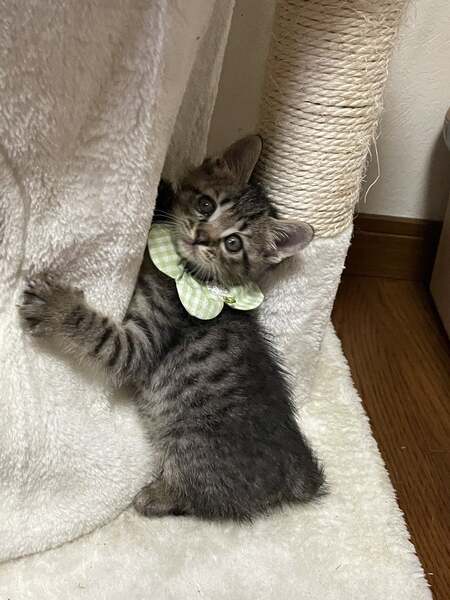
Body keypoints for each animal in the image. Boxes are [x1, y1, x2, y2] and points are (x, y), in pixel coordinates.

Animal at [19, 135, 325, 521]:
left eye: (234, 243)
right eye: (206, 205)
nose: (202, 236)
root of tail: (296, 469)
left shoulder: (145, 338)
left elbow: (106, 340)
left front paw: (57, 308)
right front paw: (162, 191)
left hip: (189, 440)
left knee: (202, 497)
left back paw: (154, 496)